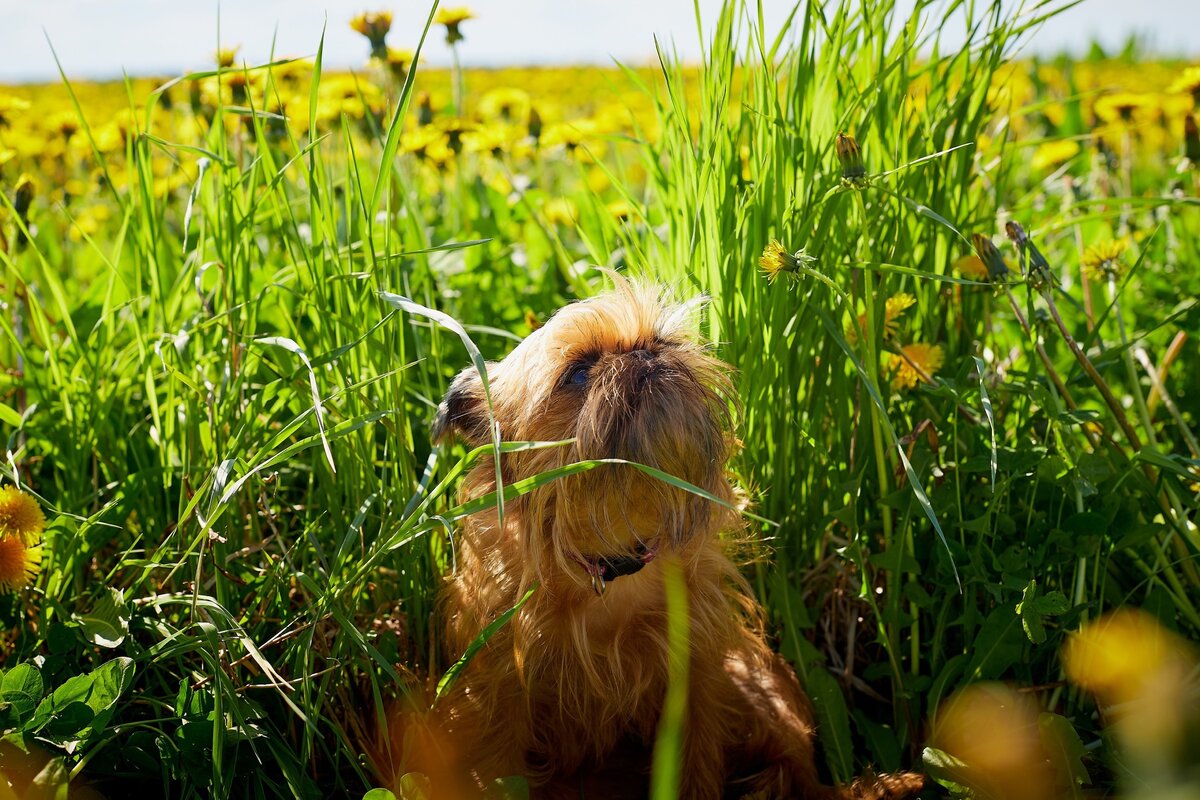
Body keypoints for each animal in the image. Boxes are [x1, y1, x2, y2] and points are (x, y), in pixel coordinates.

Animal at [417, 277, 921, 800]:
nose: (644, 353)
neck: (613, 562)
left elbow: (693, 764)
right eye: (578, 371)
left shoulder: (696, 679)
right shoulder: (501, 689)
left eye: (664, 341)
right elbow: (500, 764)